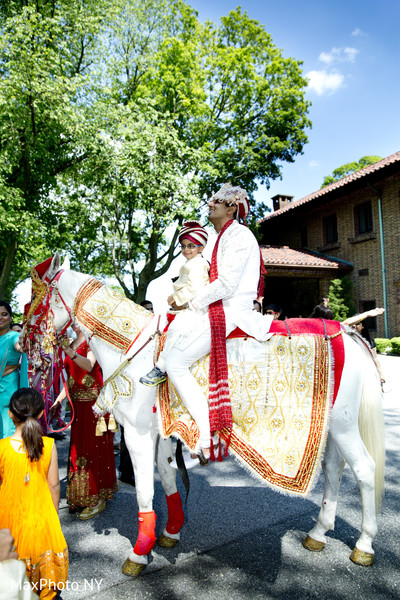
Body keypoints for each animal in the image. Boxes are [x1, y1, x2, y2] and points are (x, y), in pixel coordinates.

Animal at [24, 253, 384, 572]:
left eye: (33, 298)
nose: (24, 343)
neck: (132, 347)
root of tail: (347, 332)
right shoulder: (163, 432)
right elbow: (168, 477)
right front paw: (170, 531)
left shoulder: (137, 433)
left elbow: (144, 492)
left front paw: (139, 553)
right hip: (333, 426)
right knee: (334, 469)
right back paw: (318, 533)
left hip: (344, 425)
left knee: (364, 470)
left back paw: (364, 546)